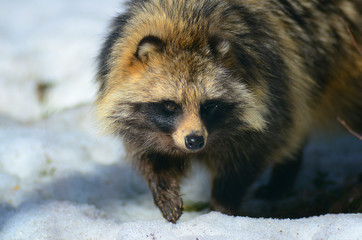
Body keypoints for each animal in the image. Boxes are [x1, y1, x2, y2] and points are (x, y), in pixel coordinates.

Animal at [96, 0, 362, 222]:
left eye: (209, 106)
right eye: (171, 105)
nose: (194, 141)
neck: (185, 22)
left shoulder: (274, 90)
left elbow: (248, 157)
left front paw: (221, 210)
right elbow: (152, 157)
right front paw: (163, 190)